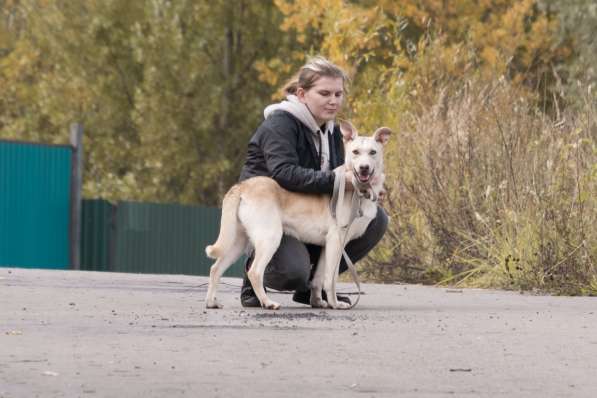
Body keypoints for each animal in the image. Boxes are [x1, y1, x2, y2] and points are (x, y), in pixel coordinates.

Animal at [205, 122, 392, 310]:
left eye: (373, 152)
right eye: (355, 152)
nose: (364, 168)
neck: (358, 192)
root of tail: (242, 186)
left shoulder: (327, 246)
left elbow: (318, 278)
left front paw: (317, 301)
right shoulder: (336, 241)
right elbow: (330, 279)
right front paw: (335, 303)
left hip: (237, 242)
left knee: (215, 268)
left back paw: (212, 302)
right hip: (270, 238)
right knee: (255, 271)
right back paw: (267, 302)